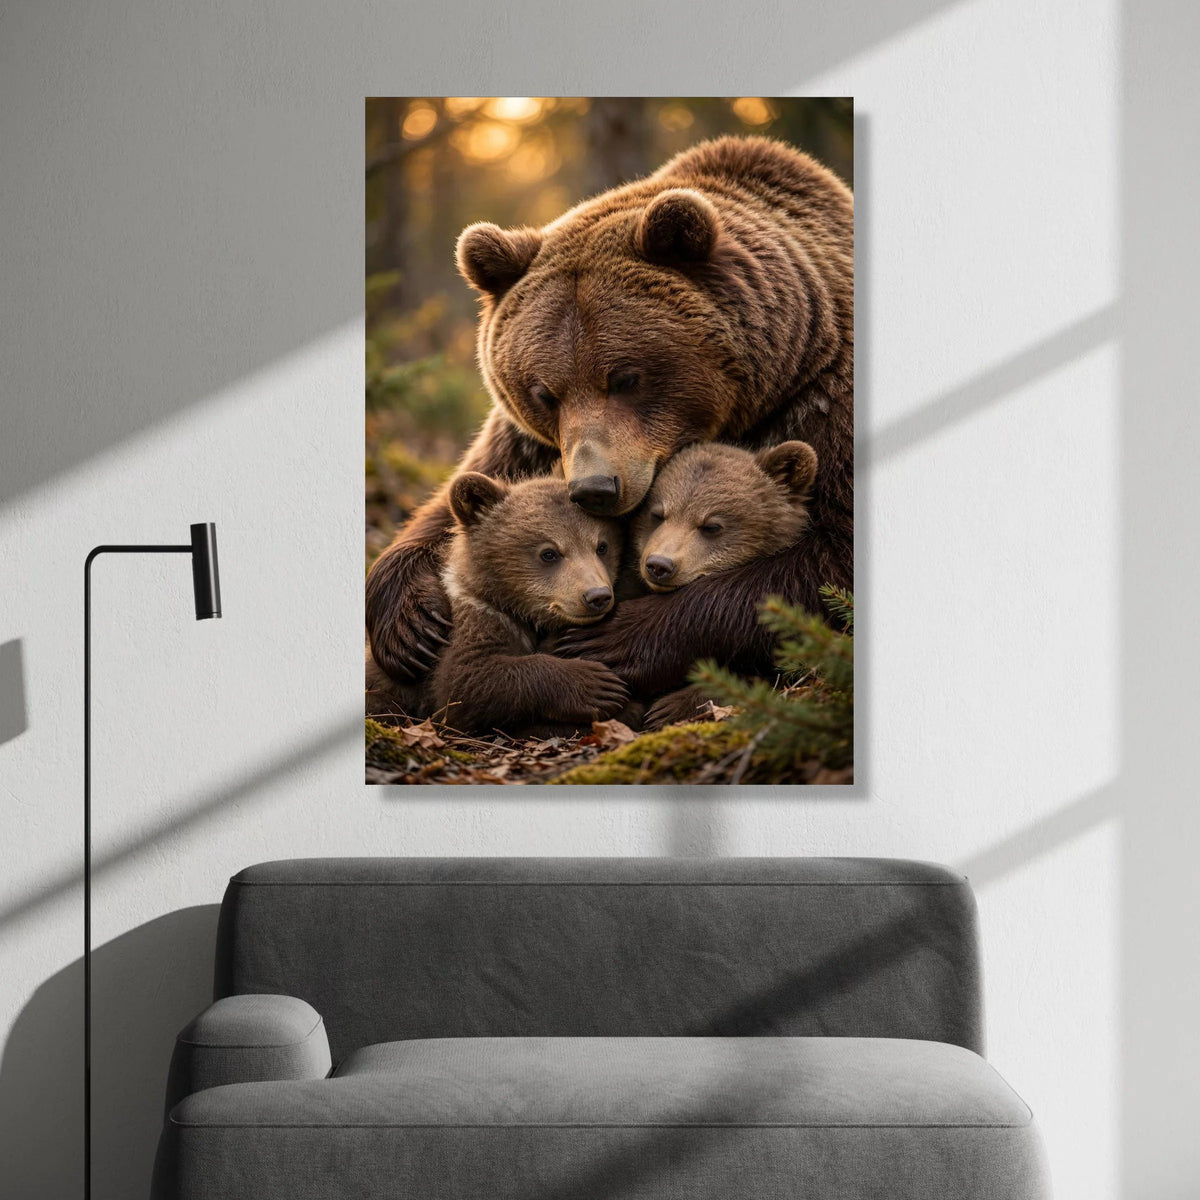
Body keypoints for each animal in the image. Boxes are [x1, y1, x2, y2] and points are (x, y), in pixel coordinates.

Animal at [366, 134, 853, 699]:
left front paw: (613, 641)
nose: (594, 488)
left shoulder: (824, 397)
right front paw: (410, 624)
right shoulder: (525, 439)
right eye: (544, 392)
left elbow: (826, 563)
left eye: (625, 377)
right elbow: (463, 500)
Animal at [366, 471, 627, 735]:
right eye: (549, 553)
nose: (597, 596)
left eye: (601, 546)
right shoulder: (472, 620)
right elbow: (466, 682)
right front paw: (597, 685)